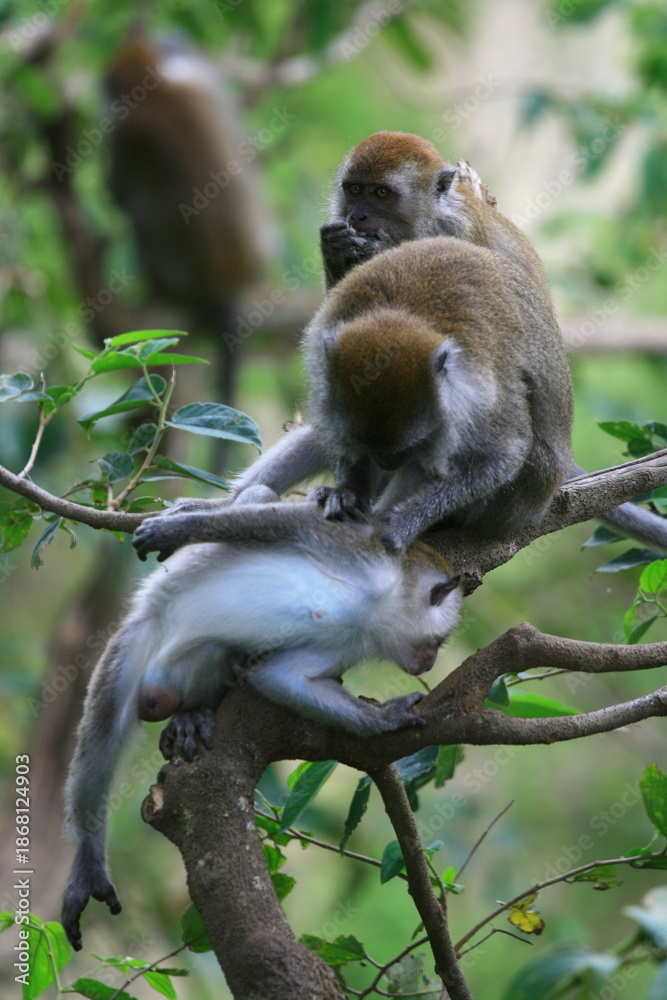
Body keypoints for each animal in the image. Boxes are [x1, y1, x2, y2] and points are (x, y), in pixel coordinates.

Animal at [63, 502, 462, 950]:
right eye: (440, 640)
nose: (429, 661)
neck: (373, 608)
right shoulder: (368, 560)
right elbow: (286, 523)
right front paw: (178, 527)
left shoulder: (348, 641)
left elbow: (279, 677)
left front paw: (382, 721)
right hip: (139, 639)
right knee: (102, 734)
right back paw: (89, 858)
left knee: (215, 650)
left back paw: (196, 711)